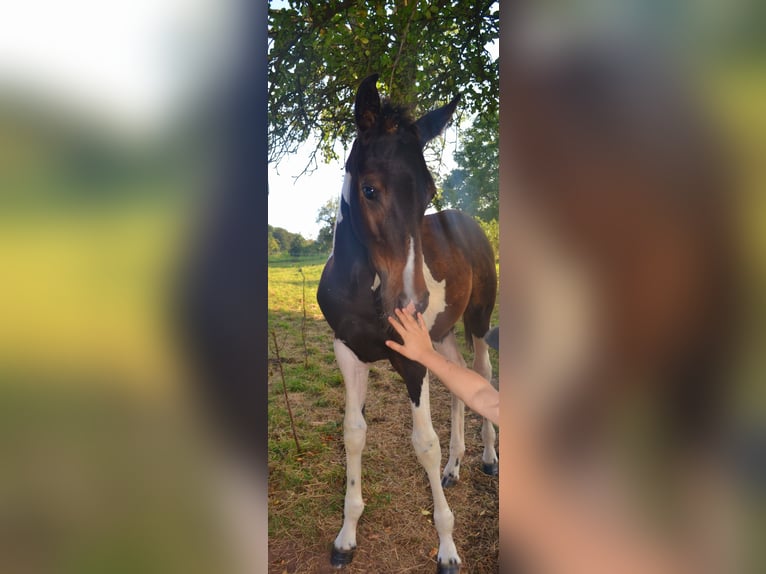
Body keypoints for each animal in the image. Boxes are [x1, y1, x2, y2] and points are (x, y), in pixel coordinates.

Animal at [316, 74, 498, 572]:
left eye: (429, 191)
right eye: (369, 190)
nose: (412, 303)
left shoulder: (413, 360)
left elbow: (424, 444)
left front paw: (448, 548)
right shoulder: (348, 352)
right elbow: (353, 435)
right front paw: (346, 537)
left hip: (478, 321)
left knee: (482, 374)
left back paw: (488, 456)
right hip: (441, 335)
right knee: (459, 383)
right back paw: (454, 468)